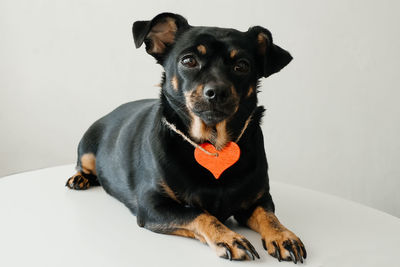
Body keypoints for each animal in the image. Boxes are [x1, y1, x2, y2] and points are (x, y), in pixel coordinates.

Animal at [66, 12, 306, 264]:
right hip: (87, 150)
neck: (213, 142)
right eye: (188, 61)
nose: (217, 92)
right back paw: (80, 178)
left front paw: (283, 236)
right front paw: (228, 238)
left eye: (242, 66)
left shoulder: (258, 200)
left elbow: (269, 216)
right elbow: (200, 213)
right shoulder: (154, 205)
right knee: (83, 165)